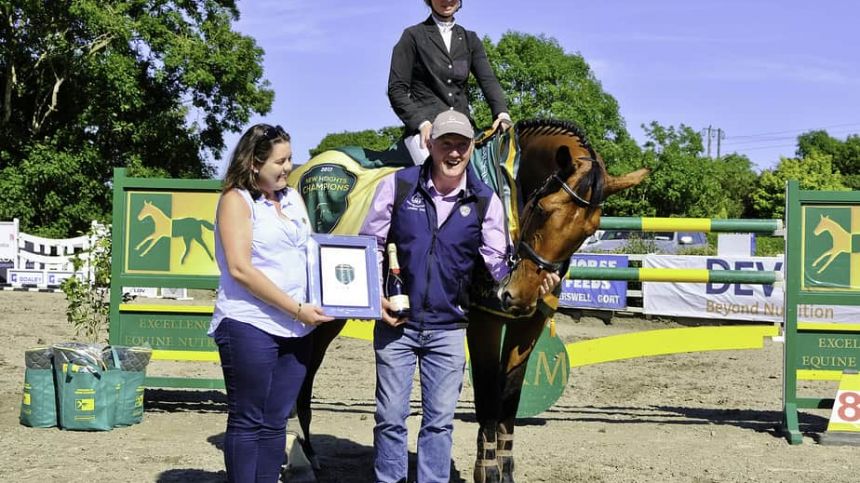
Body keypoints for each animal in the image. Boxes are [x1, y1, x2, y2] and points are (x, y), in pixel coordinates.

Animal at [288, 119, 644, 482]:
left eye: (589, 230)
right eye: (545, 210)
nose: (519, 295)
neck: (508, 189)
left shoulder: (528, 325)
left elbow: (510, 394)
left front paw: (506, 469)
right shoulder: (484, 321)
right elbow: (487, 390)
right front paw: (487, 470)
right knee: (305, 365)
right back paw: (305, 452)